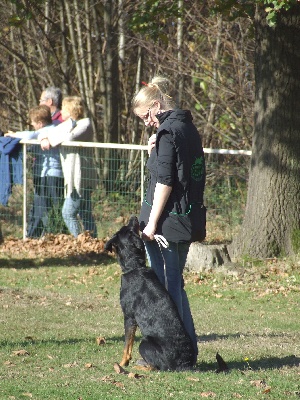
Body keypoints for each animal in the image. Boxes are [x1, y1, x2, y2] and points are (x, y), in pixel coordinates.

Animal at [104, 216, 196, 372]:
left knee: (156, 368)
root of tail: (183, 364)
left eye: (127, 228)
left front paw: (122, 364)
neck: (135, 267)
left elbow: (127, 346)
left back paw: (139, 366)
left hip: (144, 343)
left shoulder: (129, 317)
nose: (134, 217)